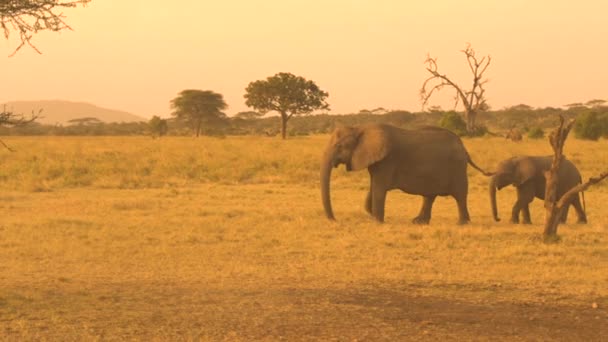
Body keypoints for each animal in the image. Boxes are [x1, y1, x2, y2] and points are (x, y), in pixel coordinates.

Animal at [318, 123, 490, 224]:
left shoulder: (387, 161)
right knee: (429, 196)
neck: (360, 129)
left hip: (457, 168)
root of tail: (464, 149)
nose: (334, 220)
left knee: (460, 195)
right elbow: (373, 186)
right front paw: (372, 214)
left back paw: (462, 223)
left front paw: (377, 222)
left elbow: (379, 188)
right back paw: (418, 222)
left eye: (339, 146)